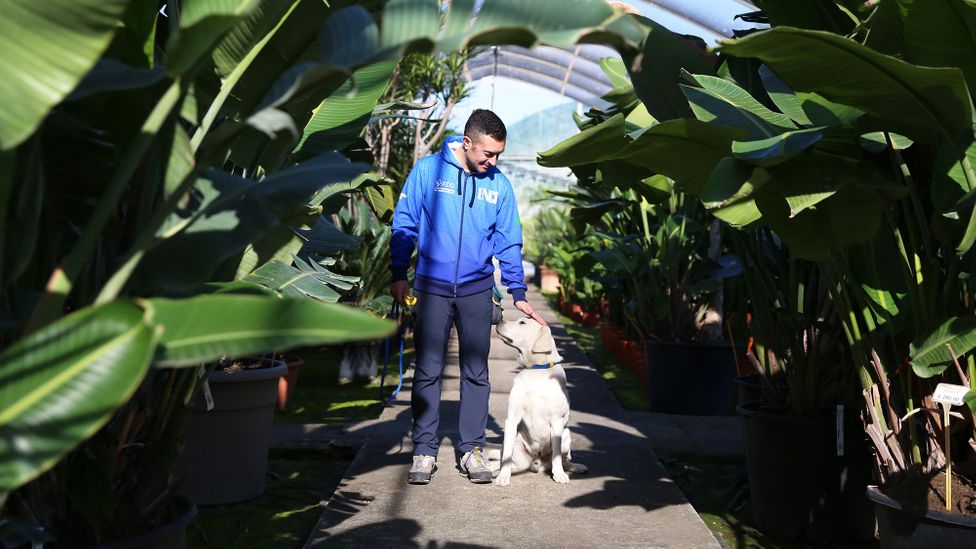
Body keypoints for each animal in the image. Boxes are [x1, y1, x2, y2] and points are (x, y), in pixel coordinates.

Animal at [496, 316, 588, 484]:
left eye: (522, 323)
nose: (499, 319)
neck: (536, 369)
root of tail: (538, 463)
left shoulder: (557, 421)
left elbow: (557, 456)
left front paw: (559, 475)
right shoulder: (512, 418)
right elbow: (506, 456)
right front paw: (503, 476)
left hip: (566, 436)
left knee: (564, 460)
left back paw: (575, 467)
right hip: (520, 454)